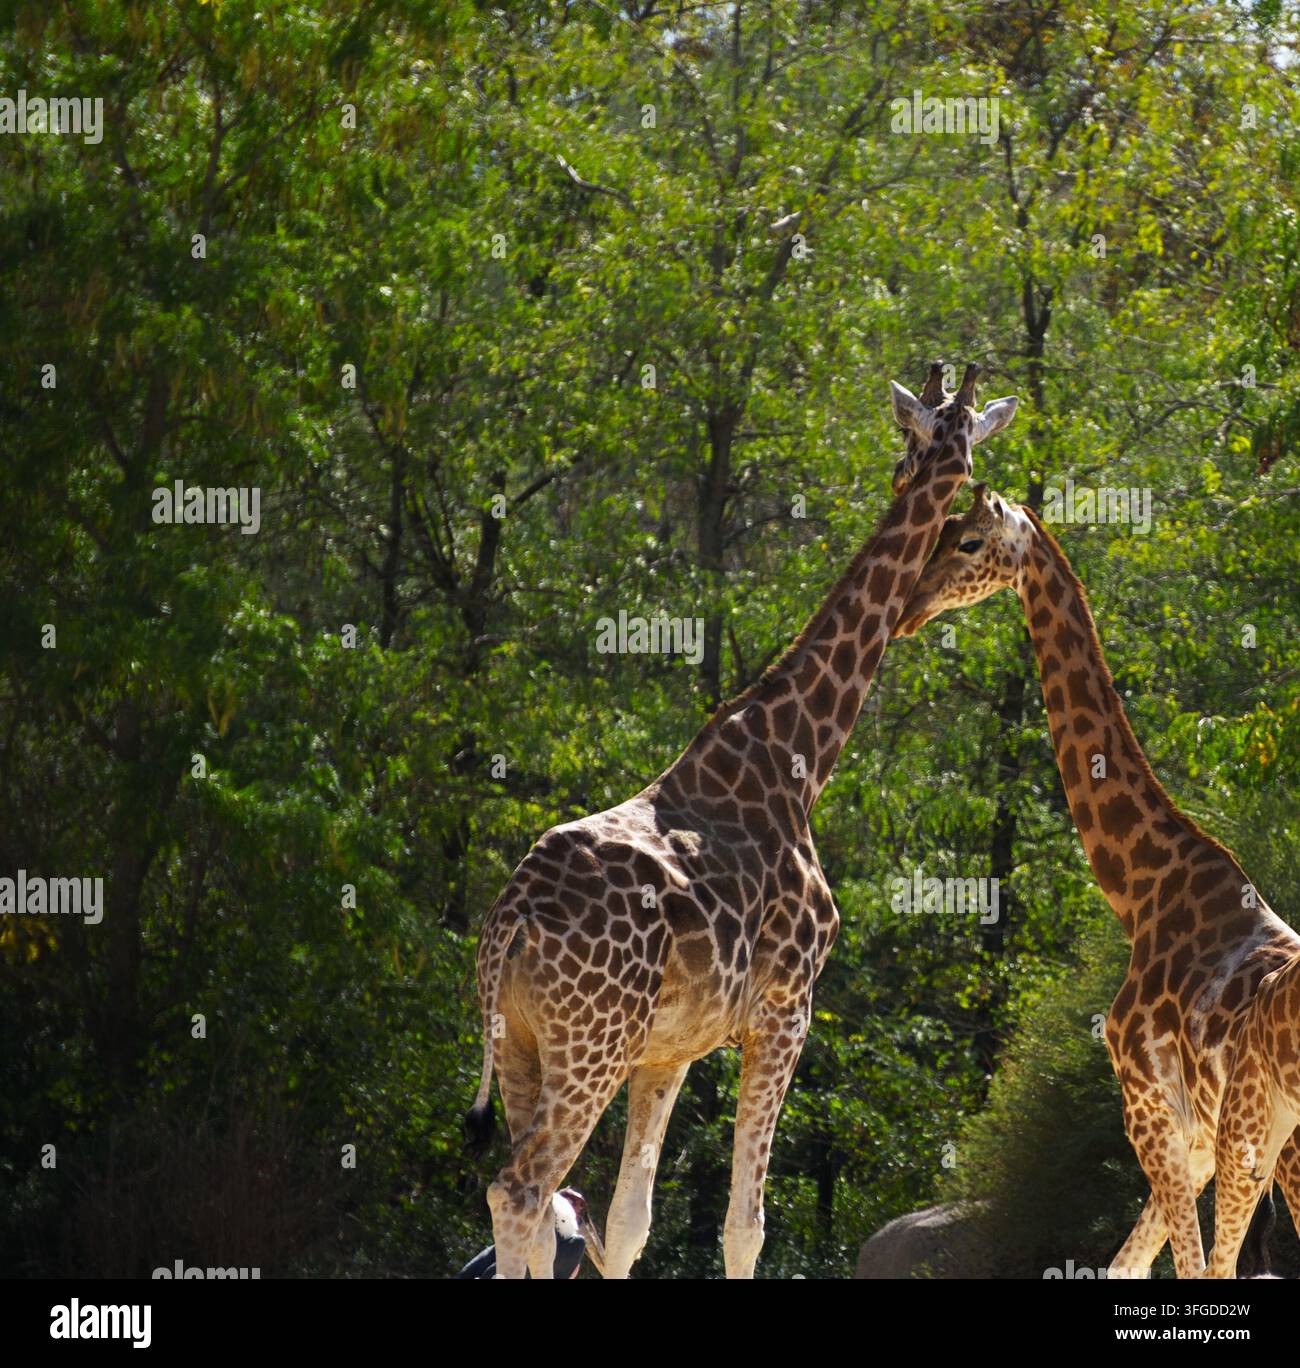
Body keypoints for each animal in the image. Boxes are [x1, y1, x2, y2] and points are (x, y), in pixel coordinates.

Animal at [465, 363, 1020, 1279]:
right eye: (969, 510)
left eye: (910, 451)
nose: (916, 603)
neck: (799, 753)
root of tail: (511, 920)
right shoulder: (785, 1009)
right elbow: (745, 1224)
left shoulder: (672, 1047)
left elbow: (630, 1222)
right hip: (588, 1046)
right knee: (521, 1190)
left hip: (522, 1043)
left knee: (536, 1205)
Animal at [890, 482, 1300, 1278]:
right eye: (941, 529)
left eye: (968, 542)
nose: (905, 609)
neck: (1142, 891)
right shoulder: (1194, 1139)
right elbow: (1130, 1262)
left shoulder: (1150, 1107)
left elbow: (1192, 1267)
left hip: (1267, 1146)